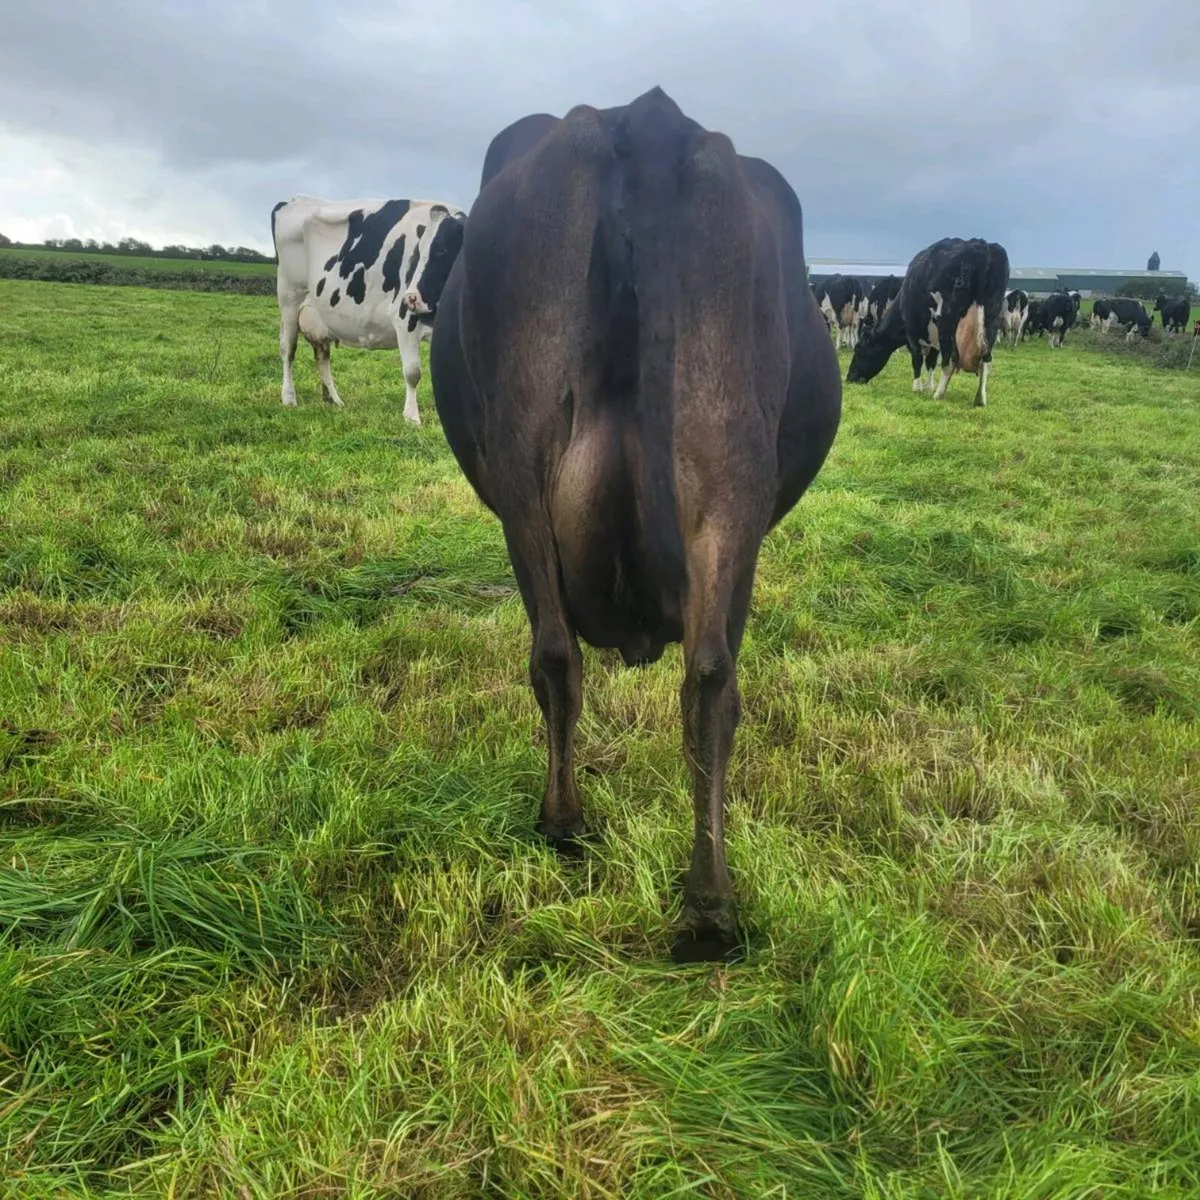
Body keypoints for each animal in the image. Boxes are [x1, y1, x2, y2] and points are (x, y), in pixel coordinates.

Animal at [272, 195, 466, 420]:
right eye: (417, 253)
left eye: (442, 251)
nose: (411, 298)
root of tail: (295, 199)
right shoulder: (403, 319)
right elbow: (413, 372)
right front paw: (411, 417)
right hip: (289, 299)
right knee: (288, 349)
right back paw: (289, 398)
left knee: (322, 355)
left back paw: (333, 400)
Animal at [430, 87, 842, 960]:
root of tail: (645, 119)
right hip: (727, 478)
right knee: (709, 678)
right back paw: (706, 903)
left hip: (530, 476)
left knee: (564, 656)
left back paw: (573, 831)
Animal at [844, 237, 1009, 406]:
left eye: (858, 349)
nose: (849, 378)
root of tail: (982, 245)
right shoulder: (932, 336)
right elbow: (930, 361)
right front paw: (929, 385)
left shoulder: (912, 331)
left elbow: (917, 358)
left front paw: (917, 387)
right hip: (992, 320)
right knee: (986, 361)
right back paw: (980, 399)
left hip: (947, 323)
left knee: (949, 362)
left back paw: (938, 395)